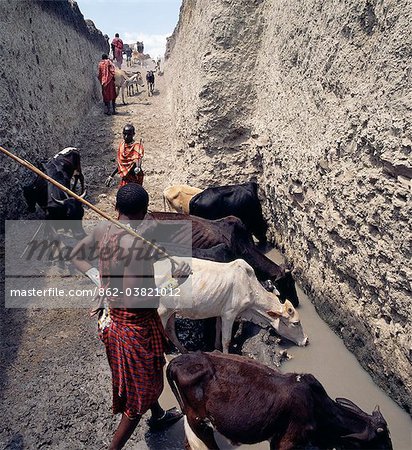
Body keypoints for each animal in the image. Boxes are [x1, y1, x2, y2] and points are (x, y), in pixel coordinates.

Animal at [153, 258, 308, 354]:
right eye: (295, 323)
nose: (306, 341)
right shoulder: (230, 314)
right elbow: (226, 340)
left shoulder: (221, 313)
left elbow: (218, 329)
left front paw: (215, 347)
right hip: (162, 311)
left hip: (171, 311)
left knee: (170, 331)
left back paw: (184, 351)